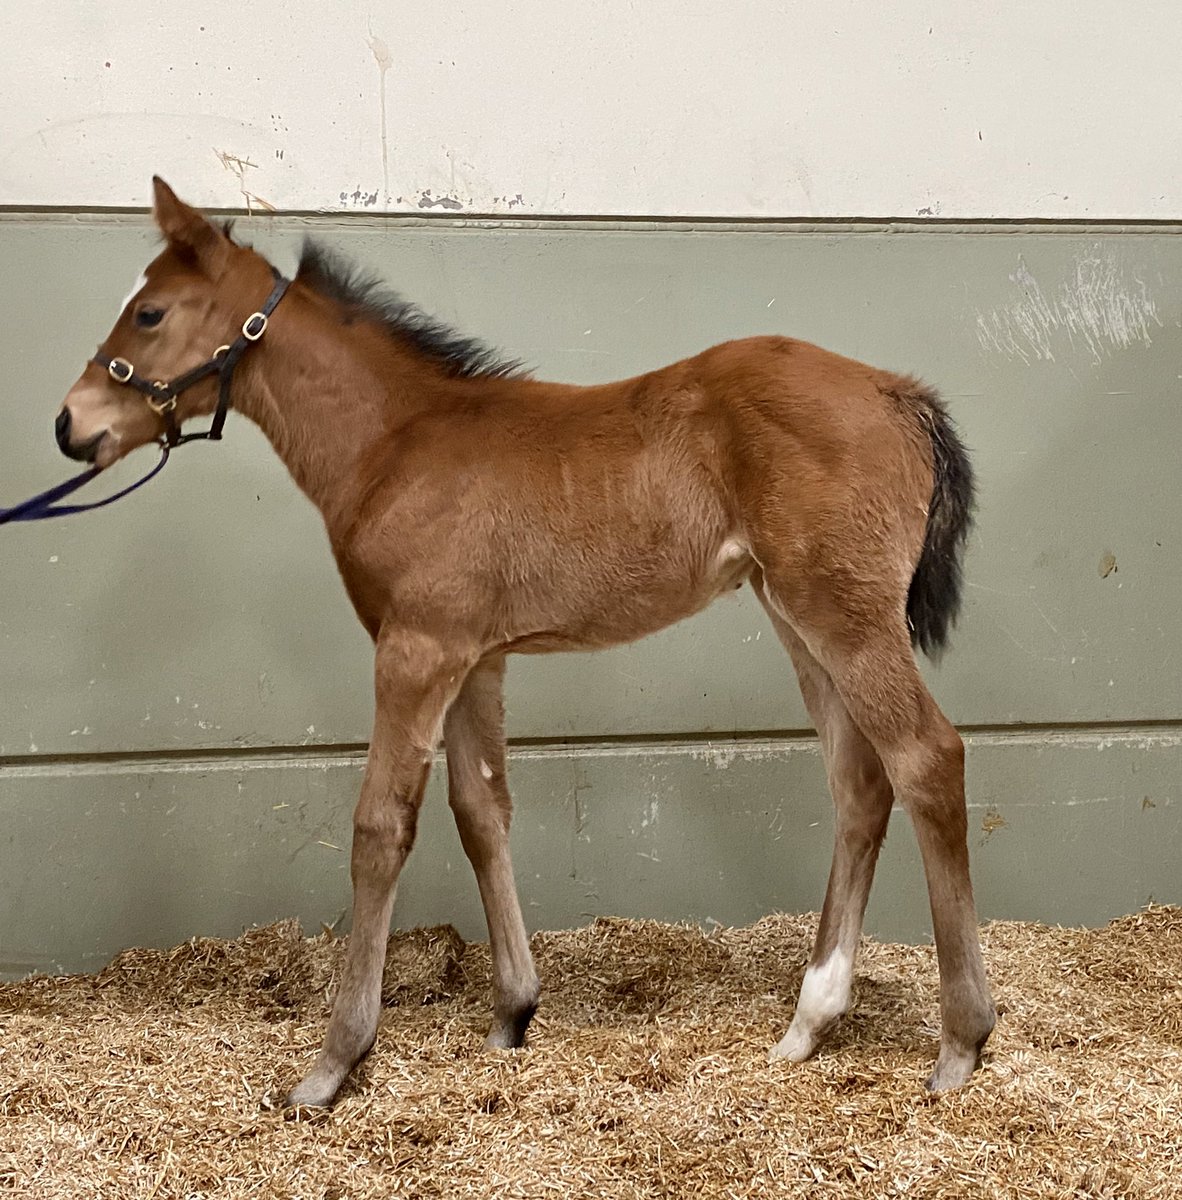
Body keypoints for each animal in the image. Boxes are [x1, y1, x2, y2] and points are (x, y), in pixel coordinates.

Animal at [54, 178, 995, 1107]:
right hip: (798, 615)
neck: (394, 442)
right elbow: (481, 810)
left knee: (927, 756)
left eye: (149, 313)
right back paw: (808, 1025)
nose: (70, 425)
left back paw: (961, 1041)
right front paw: (512, 1014)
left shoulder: (416, 648)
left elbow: (380, 827)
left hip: (844, 615)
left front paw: (332, 1064)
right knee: (859, 780)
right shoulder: (475, 655)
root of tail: (899, 395)